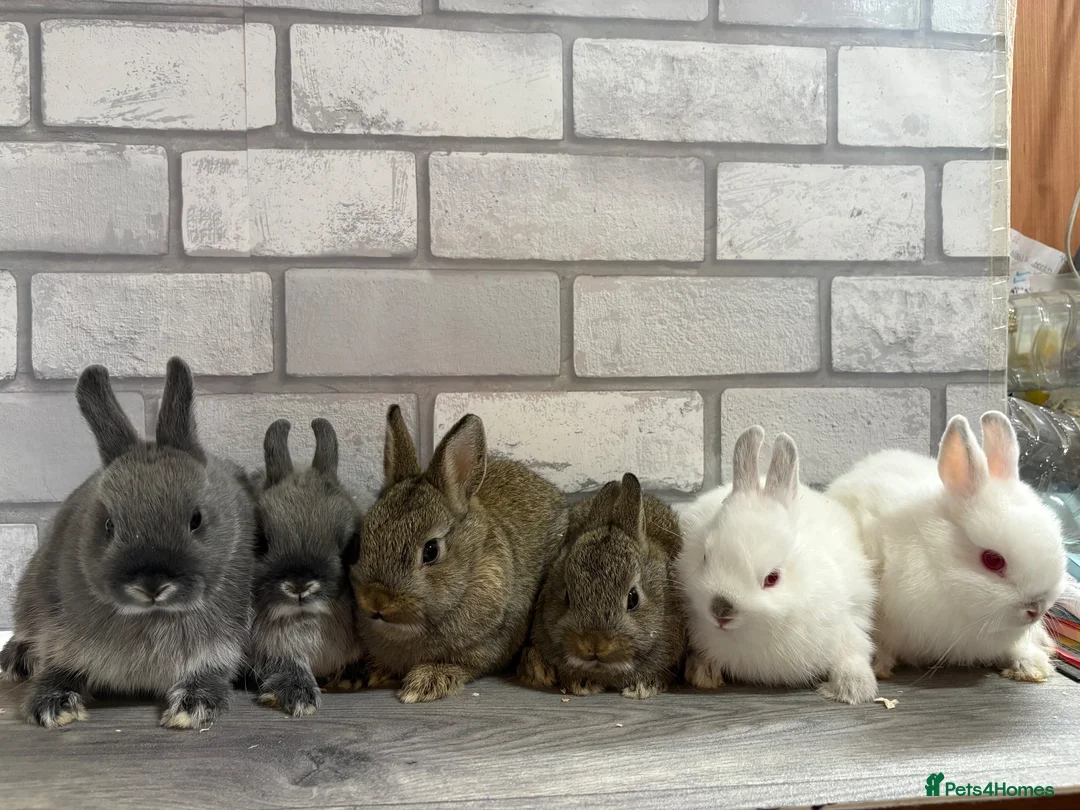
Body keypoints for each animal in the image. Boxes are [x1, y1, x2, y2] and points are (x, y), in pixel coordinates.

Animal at [0, 358, 255, 729]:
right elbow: (60, 666)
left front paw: (192, 707)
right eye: (109, 524)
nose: (152, 584)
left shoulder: (221, 645)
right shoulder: (61, 635)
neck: (153, 614)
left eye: (196, 519)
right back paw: (14, 660)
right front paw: (52, 704)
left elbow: (209, 672)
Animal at [249, 418, 365, 718]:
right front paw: (299, 697)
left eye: (348, 544)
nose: (299, 586)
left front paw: (351, 678)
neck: (306, 620)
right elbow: (288, 664)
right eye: (260, 541)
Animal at [676, 426, 878, 705]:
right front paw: (702, 672)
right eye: (705, 557)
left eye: (772, 578)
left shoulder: (851, 619)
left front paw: (853, 689)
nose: (721, 610)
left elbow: (854, 651)